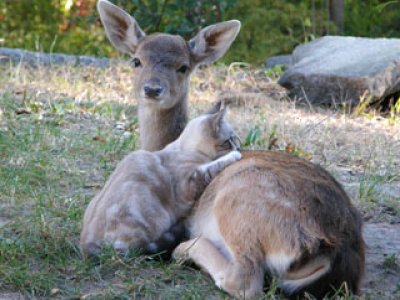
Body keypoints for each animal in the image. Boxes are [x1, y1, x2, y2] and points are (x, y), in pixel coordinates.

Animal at [79, 106, 239, 256]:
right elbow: (213, 166)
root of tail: (86, 244)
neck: (186, 149)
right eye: (229, 140)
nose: (238, 147)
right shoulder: (191, 181)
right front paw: (234, 155)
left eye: (235, 139)